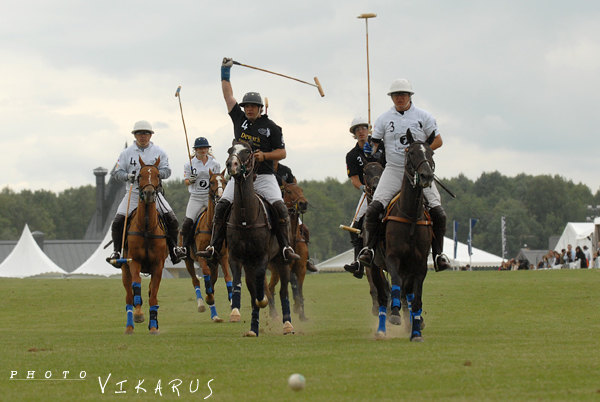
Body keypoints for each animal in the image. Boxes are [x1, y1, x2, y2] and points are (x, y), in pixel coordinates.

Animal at [122, 157, 168, 336]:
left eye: (157, 175)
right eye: (140, 175)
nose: (148, 194)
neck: (147, 228)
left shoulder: (158, 265)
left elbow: (153, 295)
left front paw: (154, 326)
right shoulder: (133, 261)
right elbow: (136, 286)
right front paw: (139, 314)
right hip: (124, 269)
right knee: (129, 295)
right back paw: (129, 326)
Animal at [182, 168, 233, 322]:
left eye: (225, 181)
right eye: (211, 182)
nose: (220, 197)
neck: (211, 226)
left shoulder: (223, 257)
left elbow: (227, 278)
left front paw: (233, 306)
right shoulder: (201, 257)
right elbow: (205, 275)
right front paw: (208, 298)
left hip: (214, 264)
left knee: (212, 281)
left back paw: (215, 315)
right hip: (188, 260)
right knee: (196, 281)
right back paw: (202, 304)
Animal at [225, 141, 292, 336]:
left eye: (248, 151)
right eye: (230, 150)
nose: (231, 165)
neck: (245, 219)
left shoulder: (262, 257)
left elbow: (262, 284)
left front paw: (263, 301)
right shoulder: (236, 257)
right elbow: (239, 283)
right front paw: (235, 310)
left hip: (282, 261)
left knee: (283, 291)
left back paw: (287, 324)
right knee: (253, 289)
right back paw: (253, 329)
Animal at [270, 181, 312, 320]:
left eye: (301, 190)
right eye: (288, 191)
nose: (303, 203)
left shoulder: (301, 269)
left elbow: (299, 289)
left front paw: (301, 314)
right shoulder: (286, 268)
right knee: (268, 288)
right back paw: (273, 312)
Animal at [368, 133, 434, 340]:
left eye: (431, 152)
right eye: (411, 152)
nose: (426, 176)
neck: (410, 215)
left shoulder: (420, 265)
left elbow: (417, 298)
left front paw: (416, 332)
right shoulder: (392, 257)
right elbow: (394, 285)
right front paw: (395, 314)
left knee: (406, 294)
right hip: (374, 265)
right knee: (383, 296)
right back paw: (382, 329)